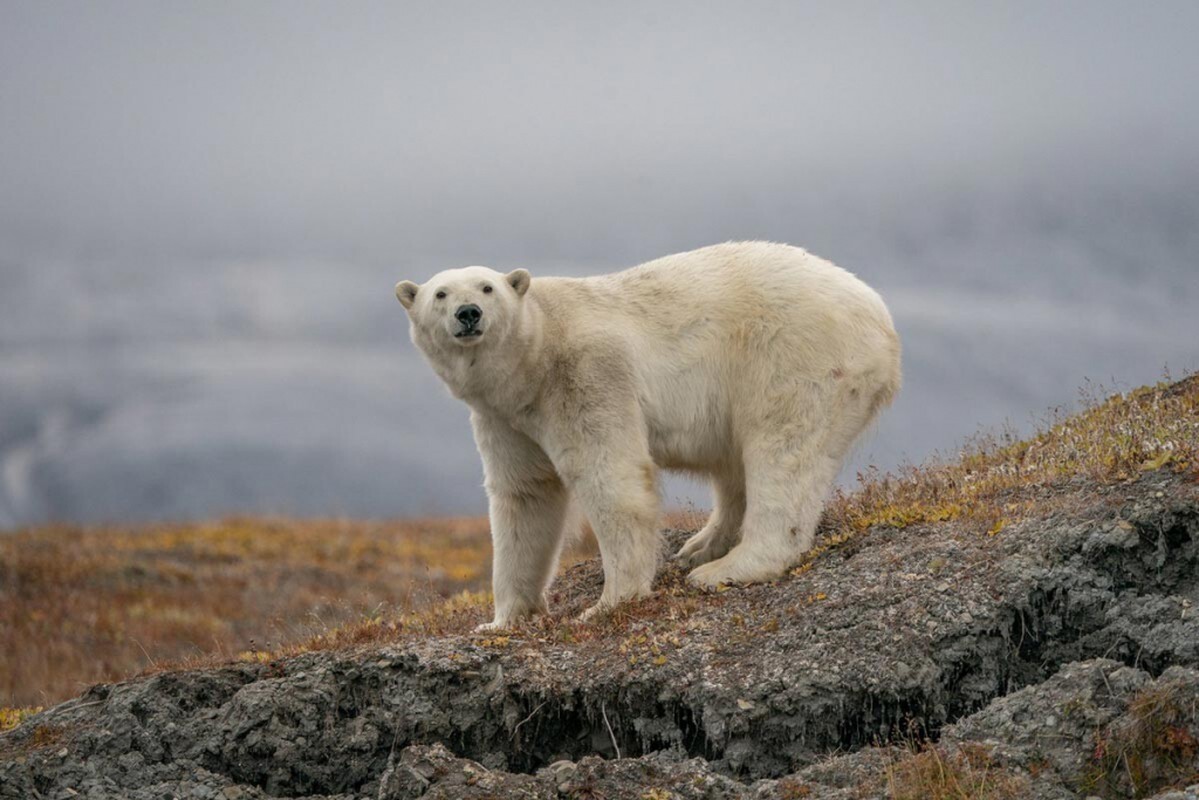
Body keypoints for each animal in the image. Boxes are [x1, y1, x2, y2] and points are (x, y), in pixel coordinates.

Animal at [395, 241, 901, 628]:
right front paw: (503, 619)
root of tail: (881, 317)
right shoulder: (504, 416)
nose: (468, 313)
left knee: (783, 448)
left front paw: (610, 602)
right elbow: (524, 495)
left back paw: (726, 567)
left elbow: (610, 478)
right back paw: (700, 547)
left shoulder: (585, 374)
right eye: (440, 293)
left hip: (796, 355)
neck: (534, 357)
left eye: (488, 287)